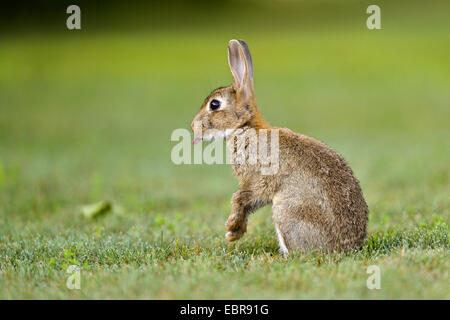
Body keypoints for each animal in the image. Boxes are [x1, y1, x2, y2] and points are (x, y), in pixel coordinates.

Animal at [188, 40, 368, 254]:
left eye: (214, 104)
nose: (192, 126)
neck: (245, 127)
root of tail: (347, 248)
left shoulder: (259, 179)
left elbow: (239, 197)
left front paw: (231, 227)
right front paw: (234, 233)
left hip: (286, 212)